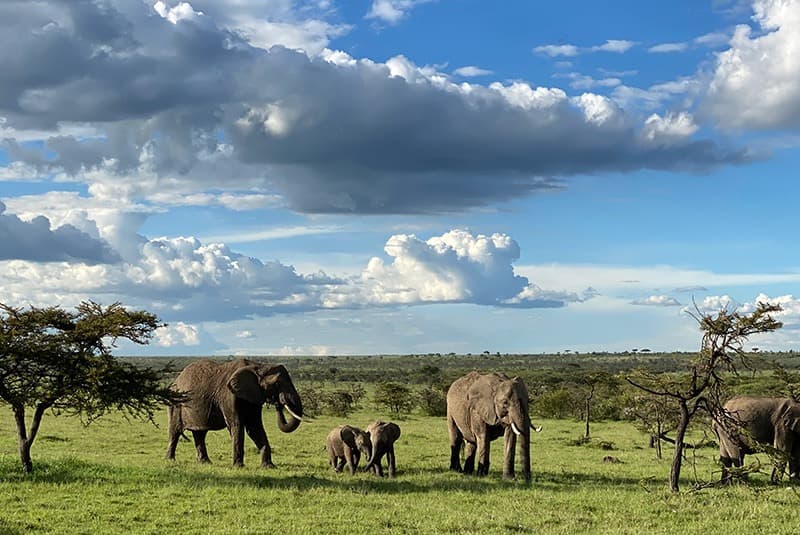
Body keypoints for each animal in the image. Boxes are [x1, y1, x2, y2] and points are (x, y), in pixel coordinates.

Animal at [165, 358, 303, 467]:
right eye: (277, 384)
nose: (279, 403)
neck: (258, 366)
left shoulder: (254, 396)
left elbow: (254, 427)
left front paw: (269, 466)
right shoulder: (228, 396)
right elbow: (236, 425)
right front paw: (238, 467)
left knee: (200, 433)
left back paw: (205, 462)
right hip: (176, 405)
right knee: (175, 431)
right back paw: (170, 460)